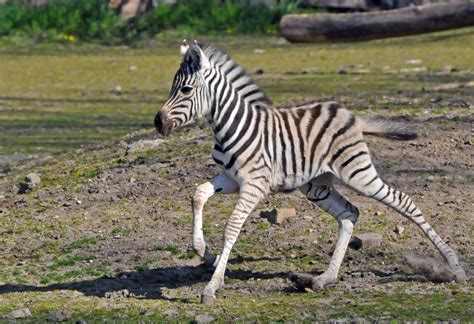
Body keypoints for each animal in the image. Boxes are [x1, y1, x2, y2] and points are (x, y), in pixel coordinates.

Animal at [154, 39, 464, 304]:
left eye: (185, 90)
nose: (158, 123)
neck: (231, 126)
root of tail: (351, 115)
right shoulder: (231, 179)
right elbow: (198, 194)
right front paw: (205, 252)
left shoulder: (255, 183)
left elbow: (231, 226)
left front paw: (212, 286)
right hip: (317, 186)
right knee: (350, 214)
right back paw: (324, 278)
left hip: (357, 172)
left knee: (404, 201)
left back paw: (454, 265)